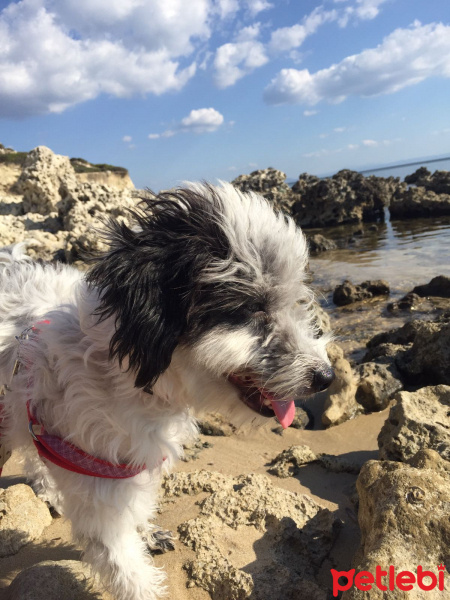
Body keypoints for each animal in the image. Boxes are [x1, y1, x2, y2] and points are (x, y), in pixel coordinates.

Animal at [0, 183, 334, 600]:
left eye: (294, 303)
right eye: (252, 307)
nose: (326, 376)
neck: (127, 371)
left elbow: (136, 504)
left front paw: (144, 528)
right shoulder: (96, 479)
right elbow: (122, 562)